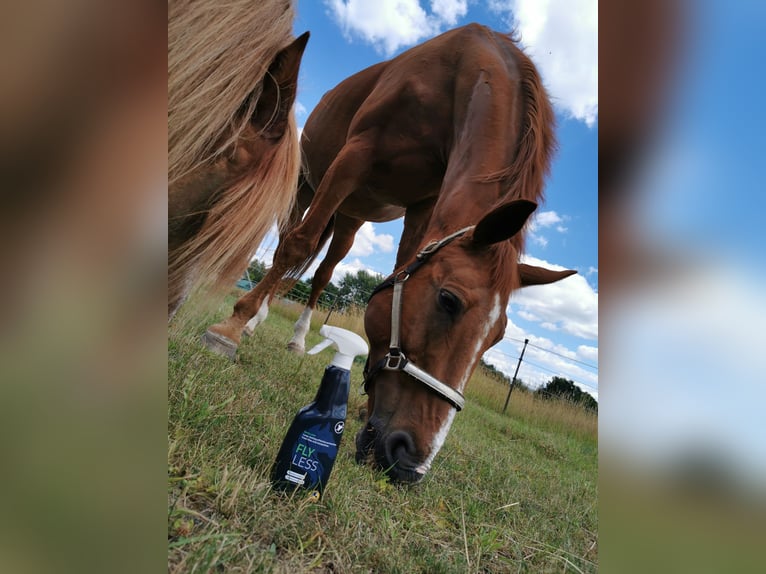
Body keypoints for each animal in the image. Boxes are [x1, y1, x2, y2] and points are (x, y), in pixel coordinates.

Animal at [204, 23, 576, 482]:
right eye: (448, 300)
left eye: (498, 336)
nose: (410, 462)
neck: (450, 85)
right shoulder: (354, 158)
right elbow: (296, 246)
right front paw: (230, 328)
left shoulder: (421, 207)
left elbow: (396, 268)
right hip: (309, 186)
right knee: (292, 241)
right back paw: (254, 319)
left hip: (351, 216)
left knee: (324, 272)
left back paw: (296, 338)